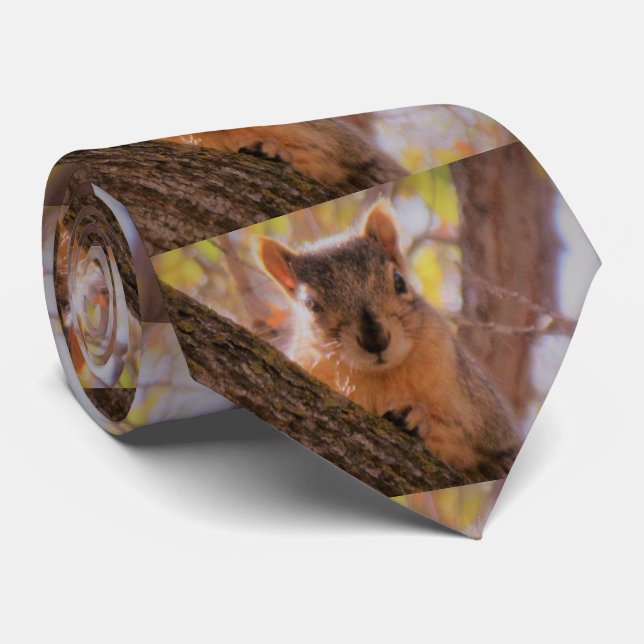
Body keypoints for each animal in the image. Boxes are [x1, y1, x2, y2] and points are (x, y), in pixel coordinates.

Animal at [257, 198, 521, 482]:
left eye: (399, 281)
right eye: (310, 305)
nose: (376, 341)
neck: (379, 377)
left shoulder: (476, 403)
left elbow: (463, 438)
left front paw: (418, 418)